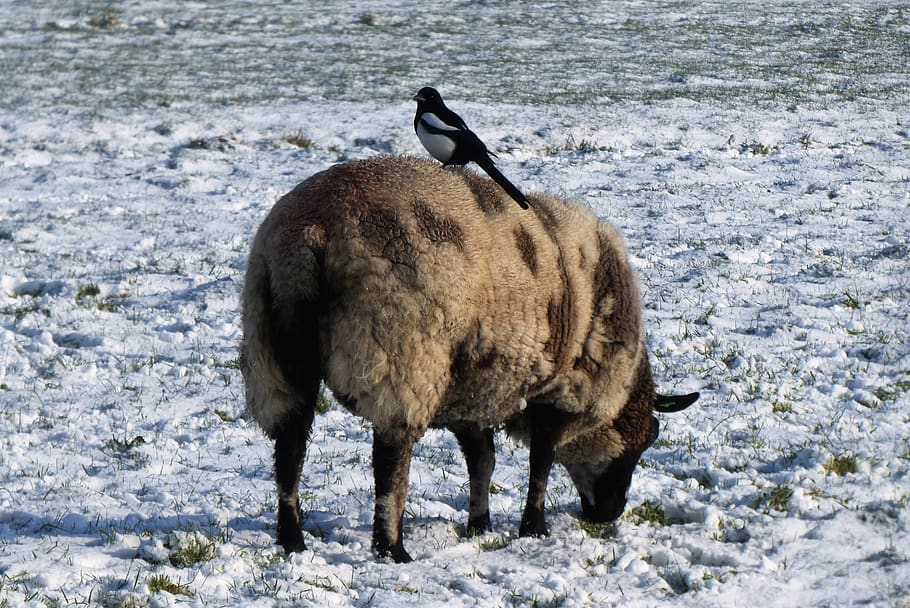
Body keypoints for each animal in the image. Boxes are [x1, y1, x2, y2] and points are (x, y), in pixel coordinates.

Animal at [240, 155, 698, 562]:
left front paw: (481, 524)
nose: (610, 514)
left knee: (290, 448)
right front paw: (533, 527)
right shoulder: (557, 392)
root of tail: (315, 228)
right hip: (402, 357)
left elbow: (483, 462)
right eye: (643, 442)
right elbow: (540, 463)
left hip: (274, 354)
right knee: (389, 460)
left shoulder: (473, 391)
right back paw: (391, 548)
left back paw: (292, 539)